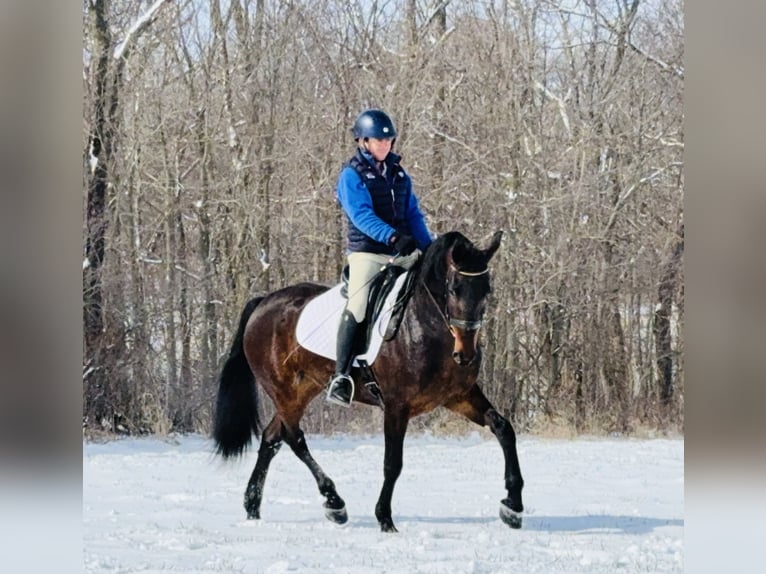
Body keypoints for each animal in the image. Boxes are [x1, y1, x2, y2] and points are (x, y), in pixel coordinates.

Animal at [216, 231, 528, 536]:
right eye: (454, 289)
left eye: (486, 290)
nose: (465, 354)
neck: (426, 326)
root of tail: (263, 302)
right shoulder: (396, 405)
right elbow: (393, 463)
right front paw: (385, 518)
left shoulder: (458, 396)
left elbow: (503, 428)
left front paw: (512, 506)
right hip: (283, 390)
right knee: (294, 437)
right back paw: (334, 502)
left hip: (302, 390)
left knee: (272, 437)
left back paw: (253, 505)